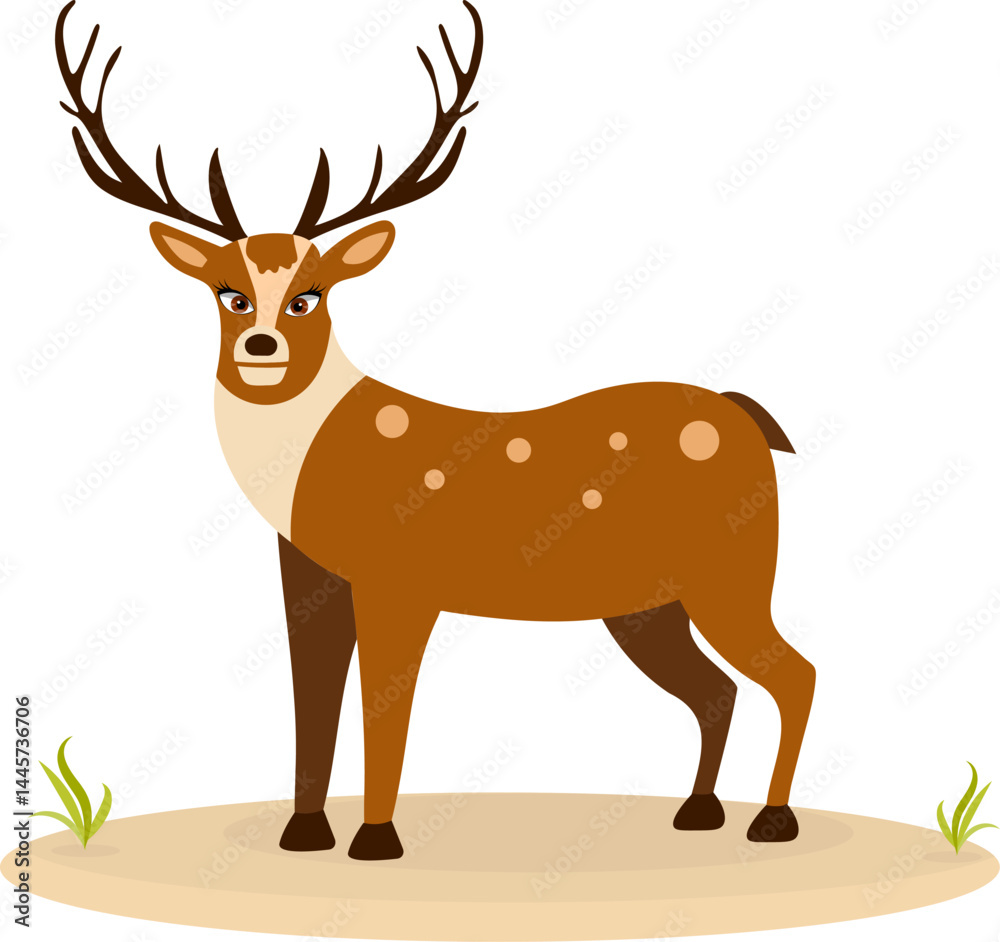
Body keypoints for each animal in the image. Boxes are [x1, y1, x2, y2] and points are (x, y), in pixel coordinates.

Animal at [55, 0, 815, 860]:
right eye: (228, 291)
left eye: (311, 294)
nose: (262, 347)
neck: (307, 463)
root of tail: (748, 415)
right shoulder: (305, 572)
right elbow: (311, 701)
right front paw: (303, 834)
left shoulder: (400, 577)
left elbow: (385, 706)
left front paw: (375, 840)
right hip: (646, 605)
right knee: (718, 687)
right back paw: (699, 810)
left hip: (735, 572)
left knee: (794, 673)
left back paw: (772, 821)